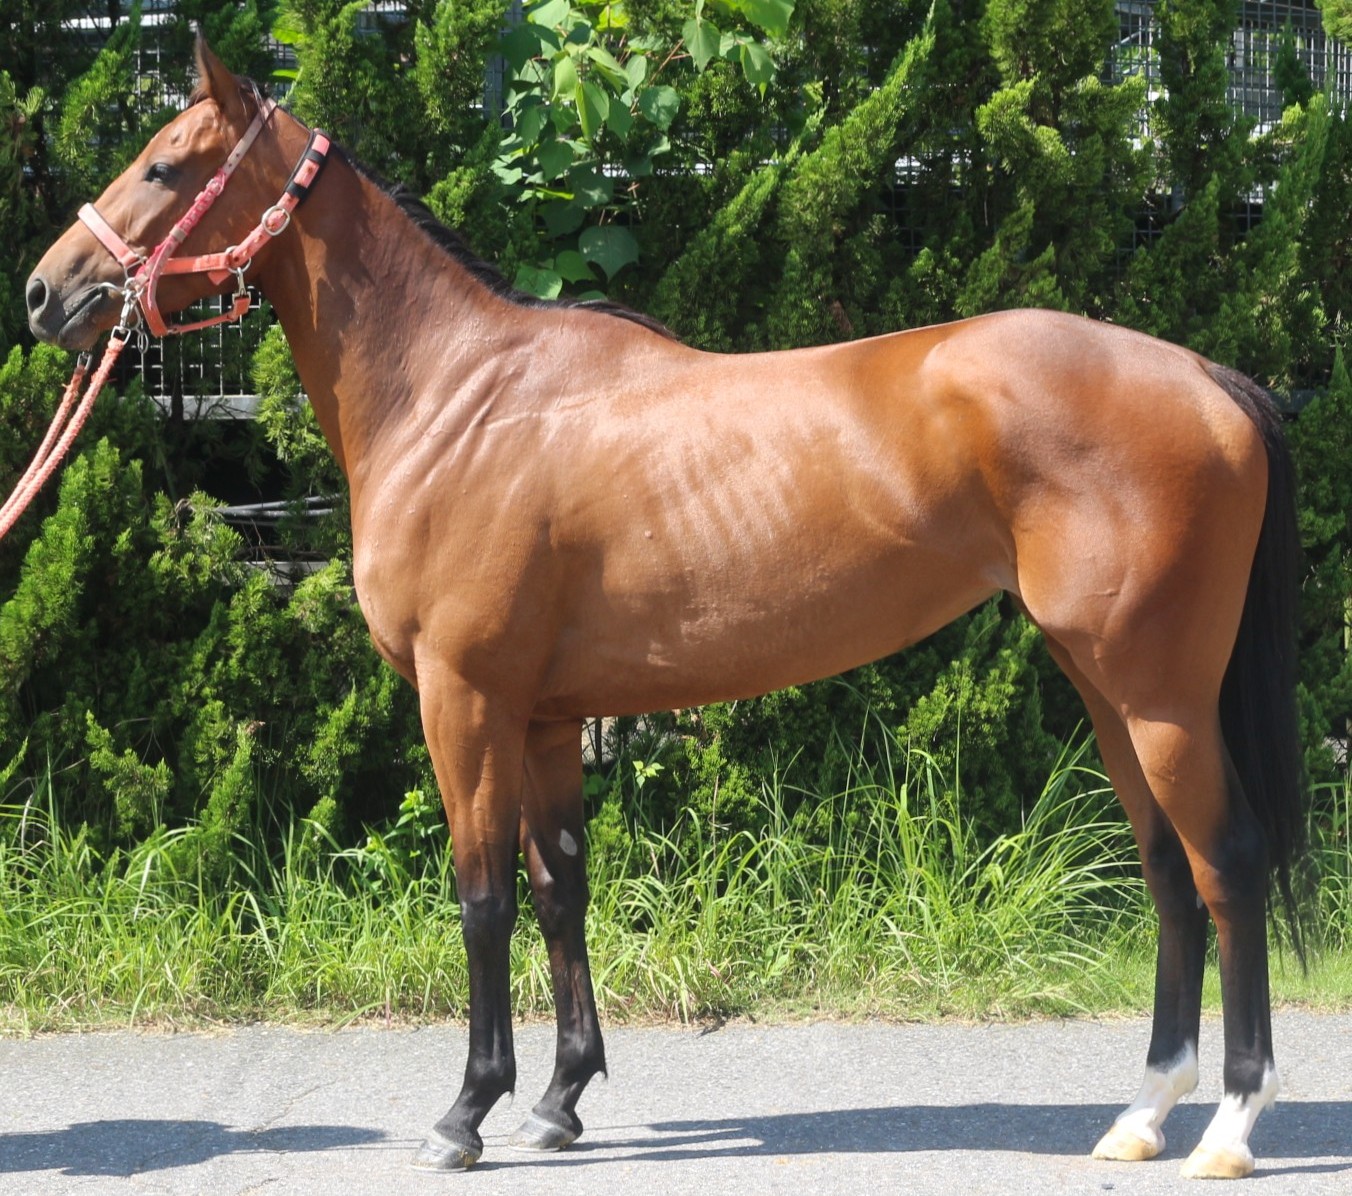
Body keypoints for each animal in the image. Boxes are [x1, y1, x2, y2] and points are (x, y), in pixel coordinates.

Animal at [25, 38, 1308, 1180]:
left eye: (164, 166)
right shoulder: (544, 718)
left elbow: (482, 897)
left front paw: (465, 1111)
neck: (456, 396)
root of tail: (1206, 378)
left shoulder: (465, 699)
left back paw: (1230, 1123)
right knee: (1165, 869)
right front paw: (556, 1098)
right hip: (1105, 686)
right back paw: (1141, 1113)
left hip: (1157, 695)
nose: (46, 291)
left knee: (1226, 862)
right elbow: (559, 888)